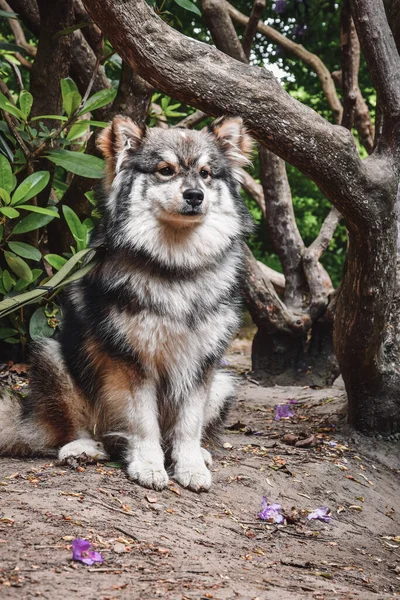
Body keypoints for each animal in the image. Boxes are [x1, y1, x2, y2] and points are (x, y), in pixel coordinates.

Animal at [0, 115, 253, 490]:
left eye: (206, 173)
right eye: (165, 170)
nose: (195, 195)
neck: (176, 267)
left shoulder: (201, 364)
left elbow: (189, 425)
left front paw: (191, 466)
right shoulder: (132, 361)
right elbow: (143, 422)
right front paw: (148, 464)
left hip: (224, 384)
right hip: (52, 356)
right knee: (79, 431)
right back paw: (83, 448)